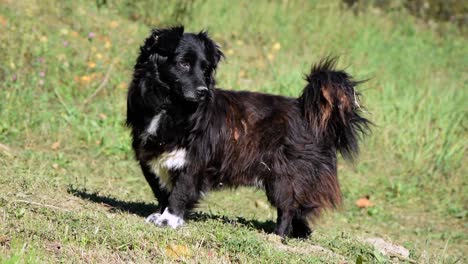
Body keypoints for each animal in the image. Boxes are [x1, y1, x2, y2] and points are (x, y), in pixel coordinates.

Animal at [126, 26, 372, 237]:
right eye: (183, 64)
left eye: (205, 69)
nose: (203, 91)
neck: (171, 107)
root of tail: (305, 111)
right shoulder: (151, 158)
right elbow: (161, 192)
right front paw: (160, 215)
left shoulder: (193, 162)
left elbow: (179, 192)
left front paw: (169, 220)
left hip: (285, 177)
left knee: (288, 207)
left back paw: (277, 236)